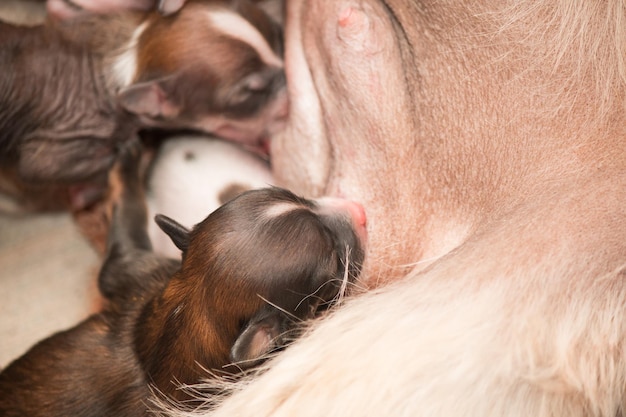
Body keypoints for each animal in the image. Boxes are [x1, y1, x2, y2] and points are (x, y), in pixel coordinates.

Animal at [0, 141, 364, 416]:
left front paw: (126, 162)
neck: (193, 307)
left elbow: (125, 224)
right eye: (334, 262)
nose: (359, 210)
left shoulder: (137, 274)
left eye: (296, 195)